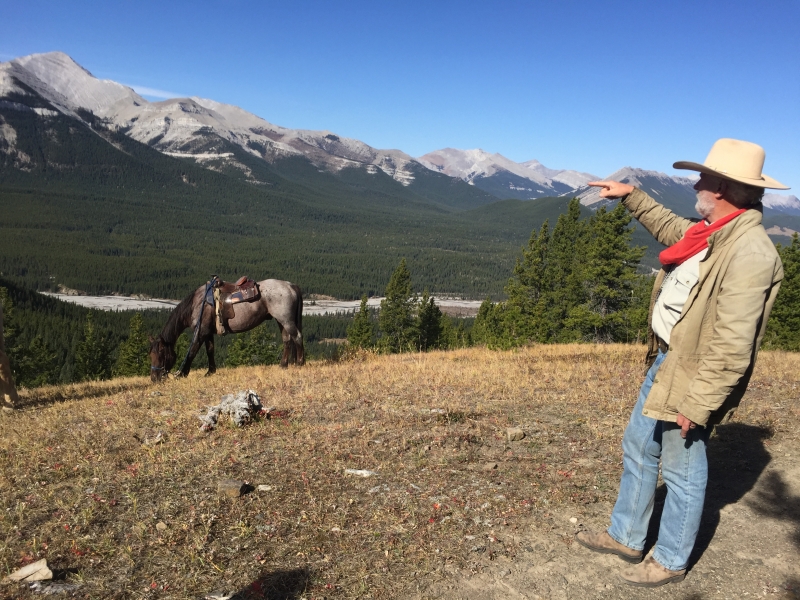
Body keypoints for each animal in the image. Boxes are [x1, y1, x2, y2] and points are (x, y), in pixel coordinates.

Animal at [148, 276, 304, 380]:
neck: (198, 304)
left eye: (161, 353)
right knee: (287, 340)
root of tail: (291, 285)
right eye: (151, 354)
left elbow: (193, 350)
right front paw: (210, 372)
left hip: (286, 319)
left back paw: (299, 364)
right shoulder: (208, 332)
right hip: (281, 320)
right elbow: (210, 350)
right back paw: (283, 365)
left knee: (297, 337)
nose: (155, 378)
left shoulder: (201, 331)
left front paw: (182, 373)